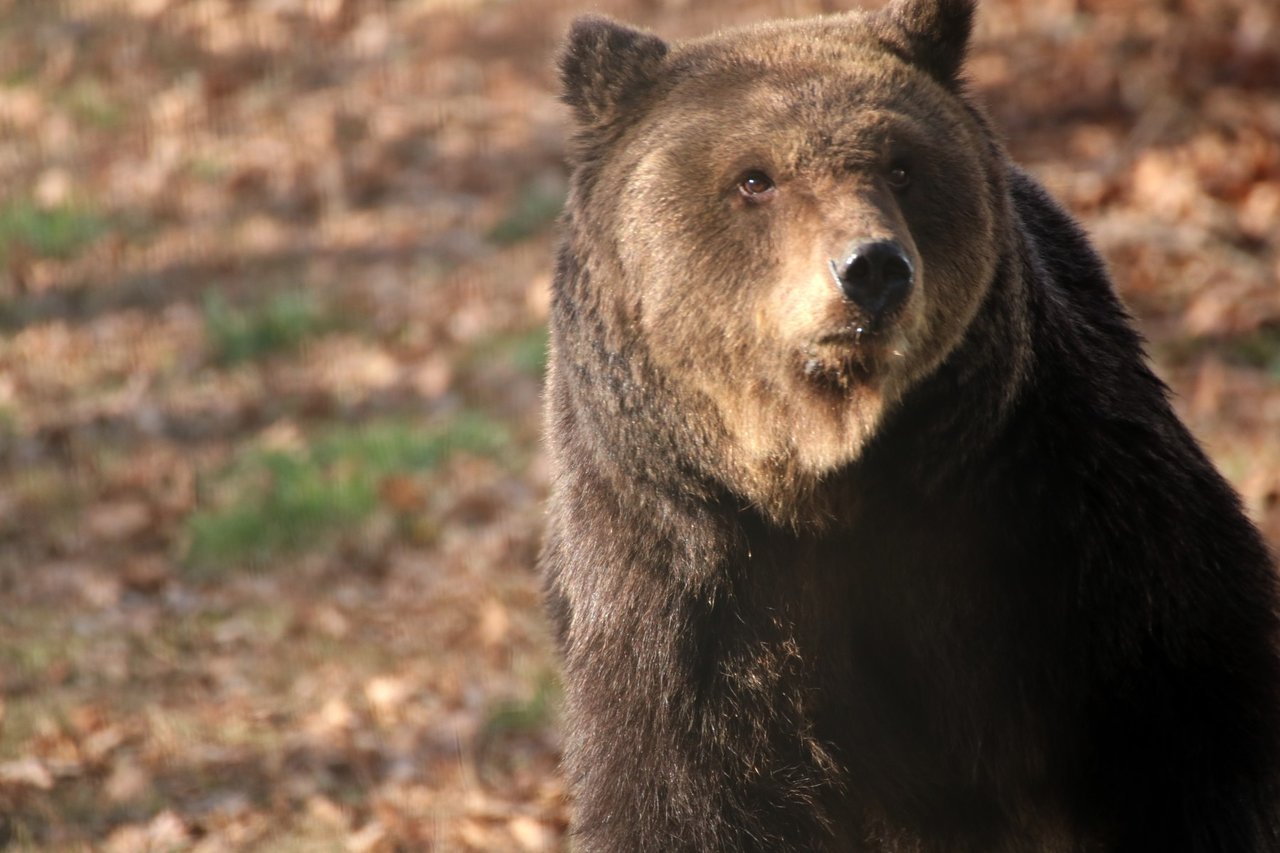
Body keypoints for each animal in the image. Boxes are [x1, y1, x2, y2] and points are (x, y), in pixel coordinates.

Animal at [535, 3, 1280, 845]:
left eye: (899, 166)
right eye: (755, 178)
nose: (871, 268)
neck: (832, 484)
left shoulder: (1054, 508)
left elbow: (1179, 710)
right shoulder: (680, 576)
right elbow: (681, 789)